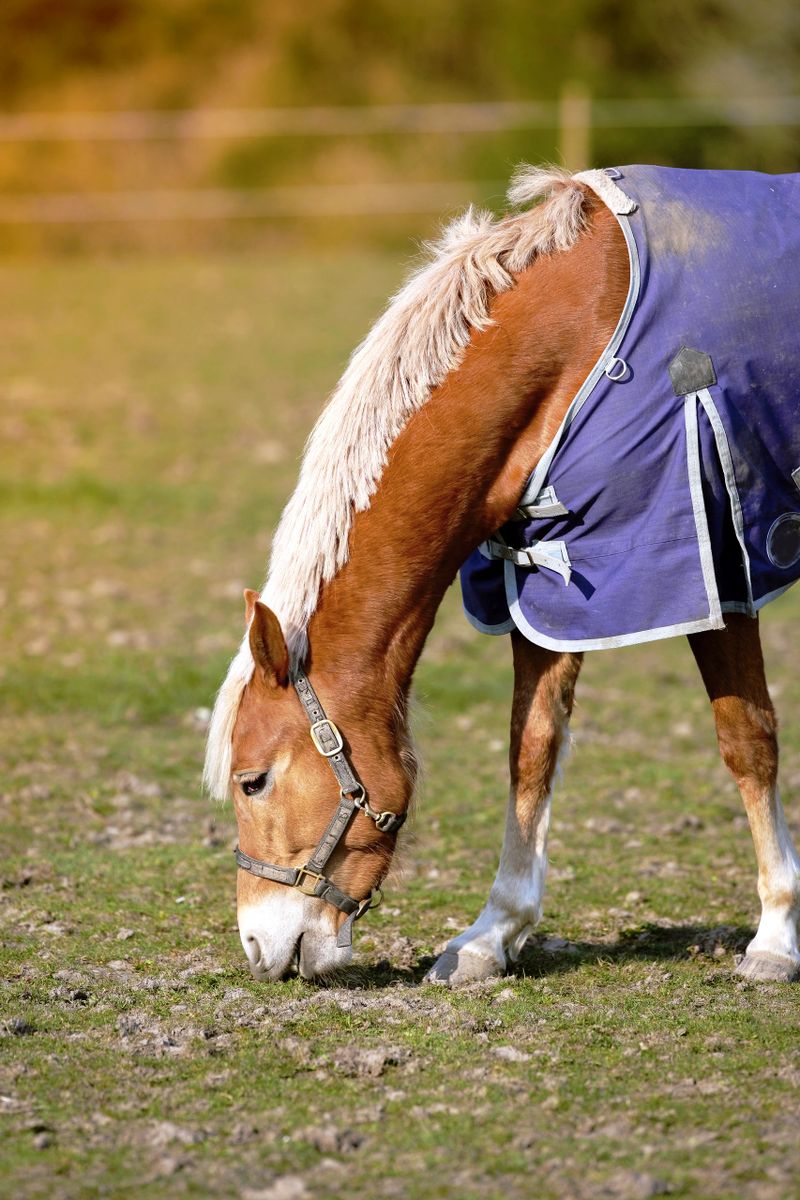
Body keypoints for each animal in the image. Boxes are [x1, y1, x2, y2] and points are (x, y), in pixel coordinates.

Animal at [204, 163, 800, 985]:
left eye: (252, 780)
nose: (258, 947)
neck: (579, 337)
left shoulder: (711, 563)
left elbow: (747, 739)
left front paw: (775, 936)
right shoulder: (550, 579)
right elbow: (532, 747)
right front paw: (492, 934)